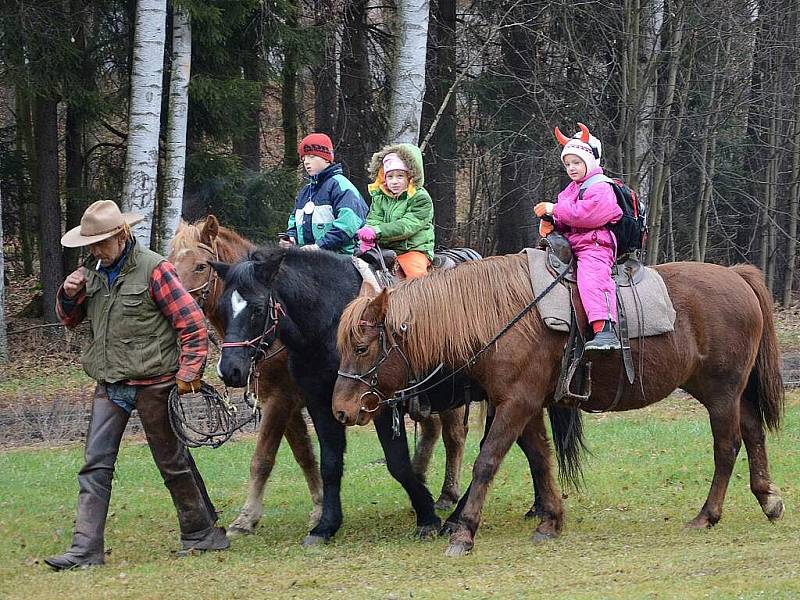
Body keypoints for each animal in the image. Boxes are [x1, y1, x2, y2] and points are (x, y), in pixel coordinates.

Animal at [332, 254, 788, 556]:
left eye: (361, 347)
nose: (341, 409)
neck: (500, 315)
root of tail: (737, 275)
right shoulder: (528, 405)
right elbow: (539, 459)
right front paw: (550, 520)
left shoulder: (515, 403)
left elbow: (487, 461)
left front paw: (464, 532)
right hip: (725, 392)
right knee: (752, 433)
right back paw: (767, 498)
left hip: (721, 392)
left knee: (727, 447)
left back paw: (707, 514)